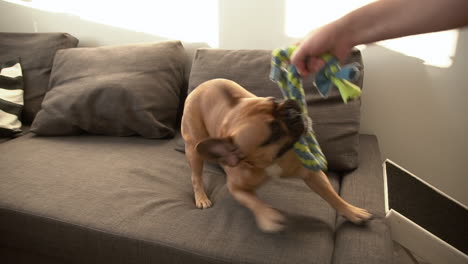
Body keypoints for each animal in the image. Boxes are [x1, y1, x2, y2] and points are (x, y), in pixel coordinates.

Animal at [181, 79, 372, 233]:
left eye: (275, 100)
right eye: (274, 132)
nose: (291, 110)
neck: (271, 161)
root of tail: (200, 87)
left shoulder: (311, 174)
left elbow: (331, 195)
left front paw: (352, 211)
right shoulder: (237, 189)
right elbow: (253, 201)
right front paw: (268, 216)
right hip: (193, 149)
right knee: (196, 177)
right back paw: (201, 197)